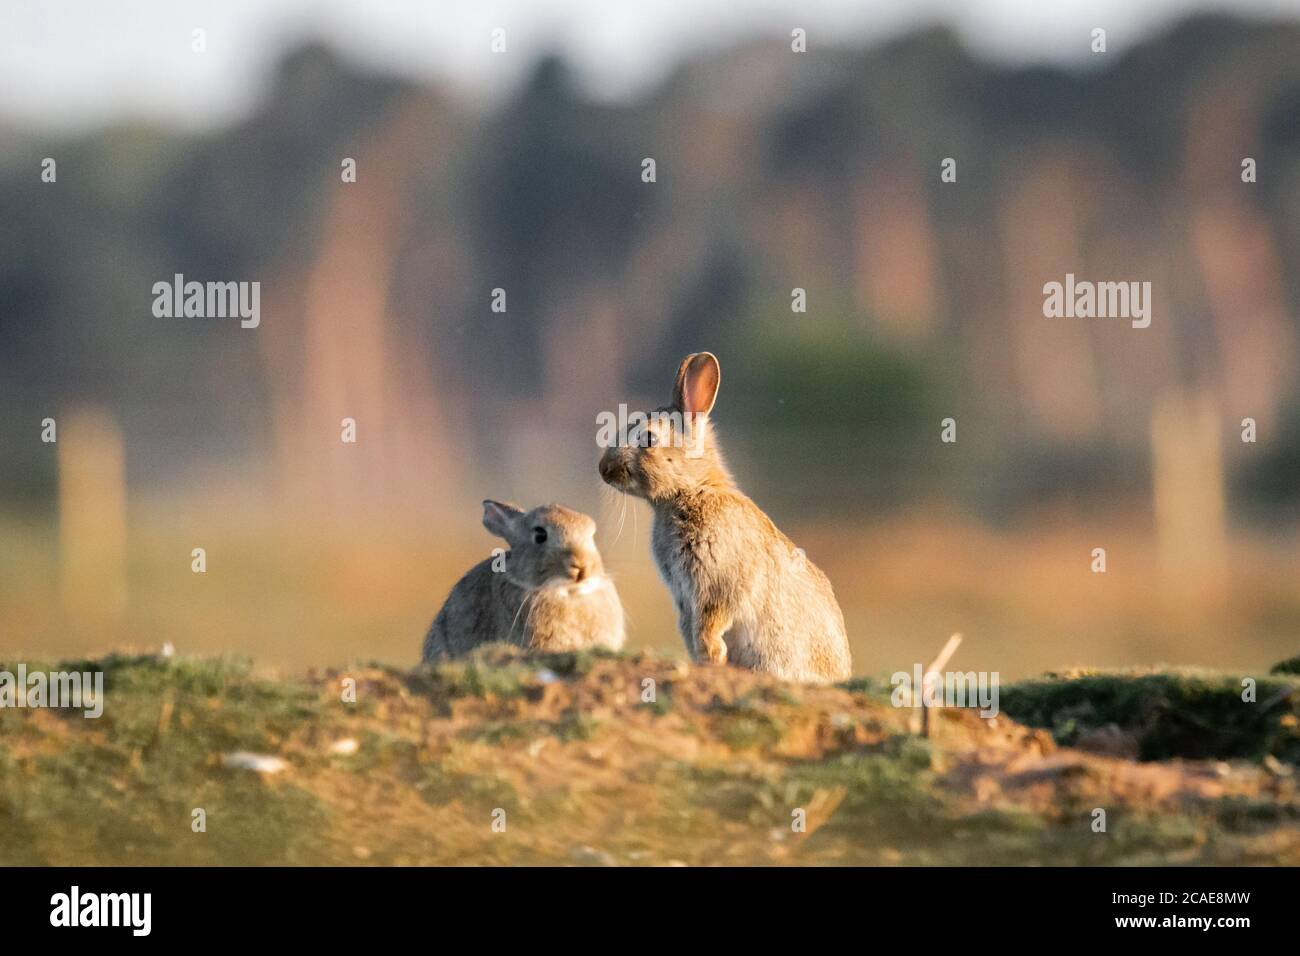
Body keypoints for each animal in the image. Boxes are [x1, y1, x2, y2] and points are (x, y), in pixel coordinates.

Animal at [595, 351, 852, 681]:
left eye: (649, 439)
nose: (604, 469)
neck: (692, 491)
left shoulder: (718, 582)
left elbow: (711, 622)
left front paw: (713, 658)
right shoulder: (684, 598)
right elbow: (690, 629)